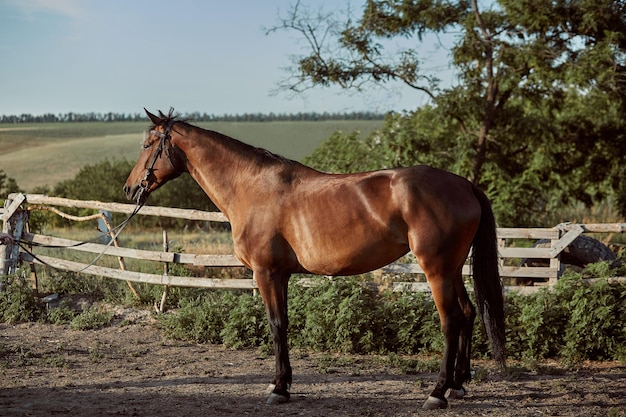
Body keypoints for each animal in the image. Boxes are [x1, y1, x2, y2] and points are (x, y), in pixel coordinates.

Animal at [124, 108, 504, 410]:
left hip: (436, 268)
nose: (129, 189)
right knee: (469, 313)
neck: (251, 188)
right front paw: (282, 383)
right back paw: (457, 385)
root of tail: (464, 185)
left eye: (147, 145)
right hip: (453, 268)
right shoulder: (282, 274)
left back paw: (437, 392)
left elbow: (276, 324)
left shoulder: (266, 273)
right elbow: (284, 324)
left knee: (451, 320)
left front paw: (279, 388)